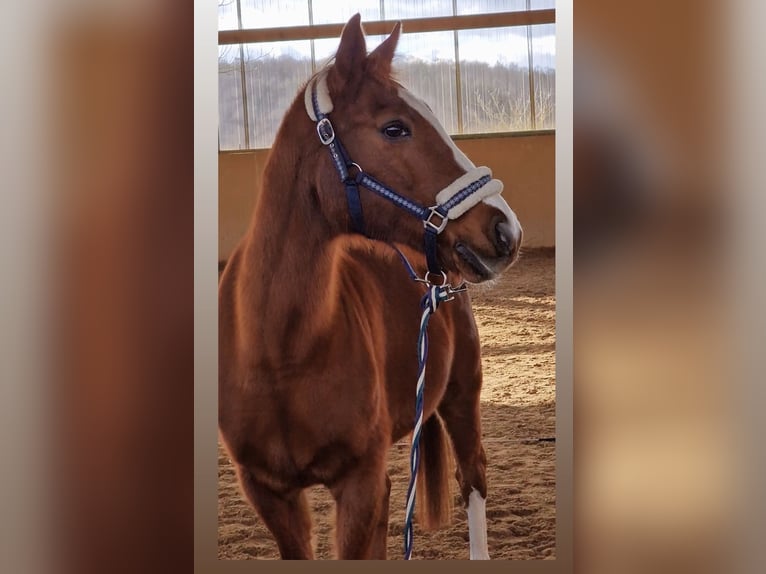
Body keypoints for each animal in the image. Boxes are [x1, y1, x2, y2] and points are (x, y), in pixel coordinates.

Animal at [219, 14, 524, 564]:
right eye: (394, 128)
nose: (505, 230)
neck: (279, 350)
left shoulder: (359, 483)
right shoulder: (269, 493)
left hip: (463, 396)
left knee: (474, 477)